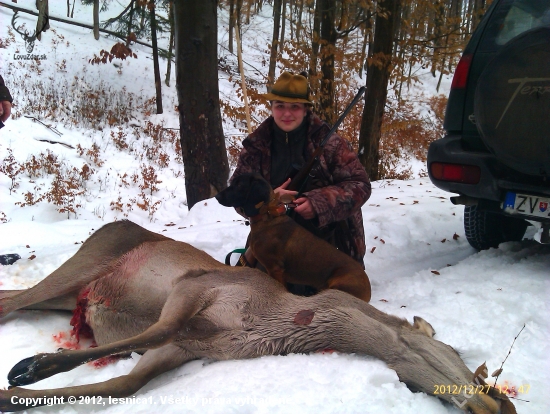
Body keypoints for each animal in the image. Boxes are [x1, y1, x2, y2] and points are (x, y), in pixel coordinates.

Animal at [0, 222, 516, 412]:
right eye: (458, 355)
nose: (500, 404)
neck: (271, 324)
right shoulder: (195, 286)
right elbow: (157, 330)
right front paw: (30, 367)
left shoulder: (183, 348)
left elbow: (121, 384)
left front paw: (12, 396)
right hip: (84, 265)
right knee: (12, 300)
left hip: (71, 295)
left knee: (13, 296)